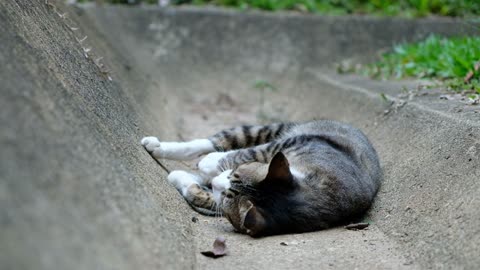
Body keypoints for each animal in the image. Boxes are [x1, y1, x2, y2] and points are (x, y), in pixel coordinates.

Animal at [140, 120, 382, 236]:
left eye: (227, 197)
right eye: (237, 172)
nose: (218, 182)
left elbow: (203, 194)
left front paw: (184, 176)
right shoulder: (293, 143)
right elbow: (247, 153)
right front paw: (208, 163)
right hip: (274, 130)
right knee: (218, 140)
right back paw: (157, 146)